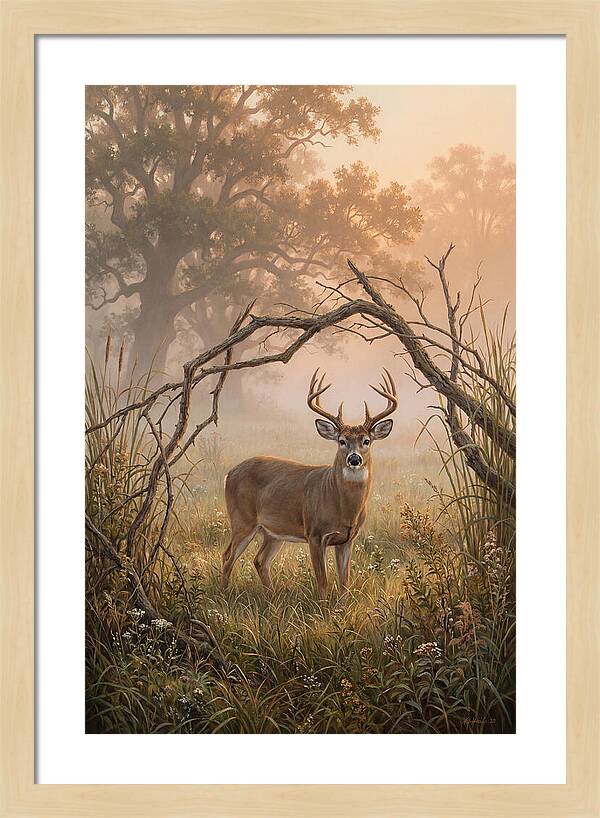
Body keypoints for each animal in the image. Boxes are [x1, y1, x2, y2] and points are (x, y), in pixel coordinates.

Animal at [221, 369, 398, 599]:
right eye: (341, 441)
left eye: (366, 441)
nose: (354, 459)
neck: (343, 507)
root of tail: (229, 474)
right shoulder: (314, 533)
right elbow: (322, 581)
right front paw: (323, 607)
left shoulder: (348, 538)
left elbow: (344, 581)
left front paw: (343, 605)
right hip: (242, 520)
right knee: (227, 556)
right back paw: (223, 595)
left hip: (273, 531)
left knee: (260, 560)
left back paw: (272, 597)